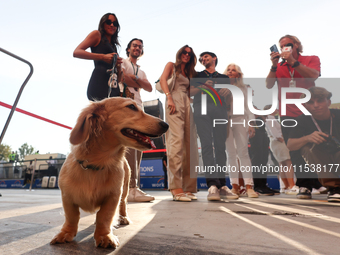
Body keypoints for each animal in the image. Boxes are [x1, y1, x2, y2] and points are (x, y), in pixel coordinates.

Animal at [50, 97, 169, 247]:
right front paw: (66, 233)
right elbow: (72, 217)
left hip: (125, 190)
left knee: (123, 204)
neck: (97, 164)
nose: (166, 125)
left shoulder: (113, 196)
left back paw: (123, 218)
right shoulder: (67, 197)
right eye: (131, 107)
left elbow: (105, 216)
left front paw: (104, 236)